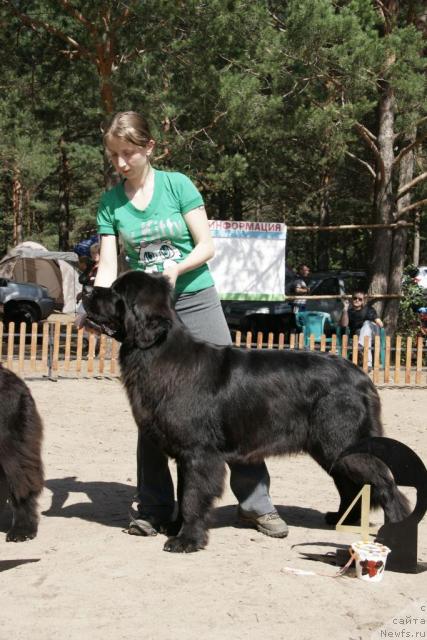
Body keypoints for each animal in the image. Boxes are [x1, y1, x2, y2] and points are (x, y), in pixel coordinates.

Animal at [83, 272, 408, 552]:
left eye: (117, 292)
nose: (85, 290)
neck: (158, 352)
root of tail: (362, 376)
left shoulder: (199, 452)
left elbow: (192, 497)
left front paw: (187, 540)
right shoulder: (184, 453)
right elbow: (182, 492)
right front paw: (174, 528)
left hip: (341, 440)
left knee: (385, 483)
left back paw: (394, 532)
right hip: (329, 447)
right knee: (351, 485)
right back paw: (341, 520)